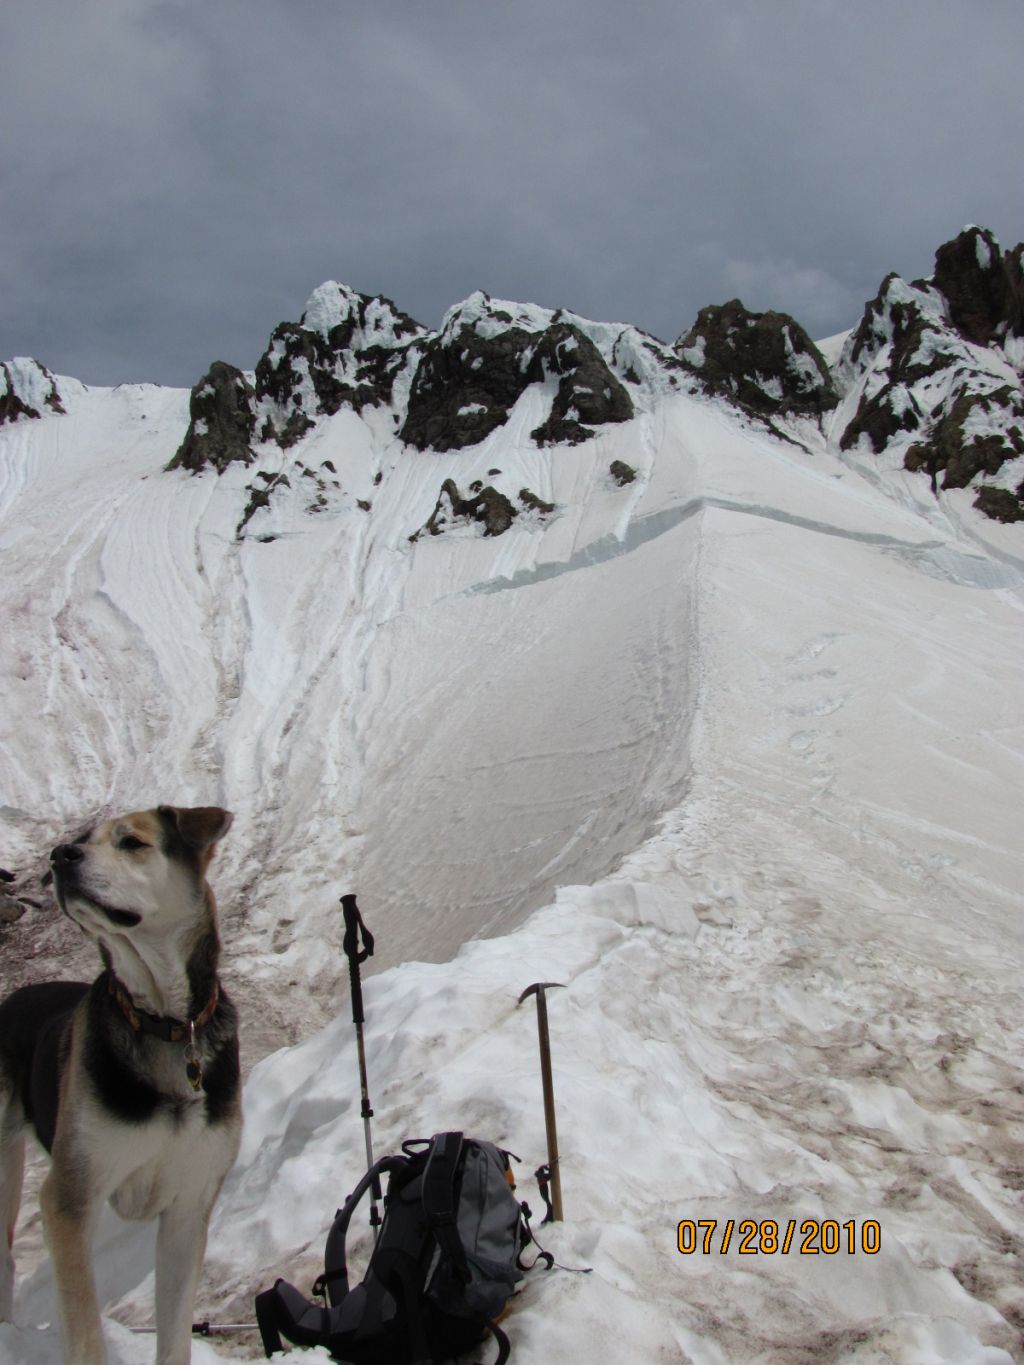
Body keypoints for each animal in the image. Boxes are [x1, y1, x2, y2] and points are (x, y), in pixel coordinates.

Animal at [0, 802, 243, 1359]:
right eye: (81, 839)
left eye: (132, 842)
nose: (59, 855)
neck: (166, 1023)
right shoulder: (71, 1194)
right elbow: (85, 1330)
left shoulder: (190, 1203)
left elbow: (174, 1337)